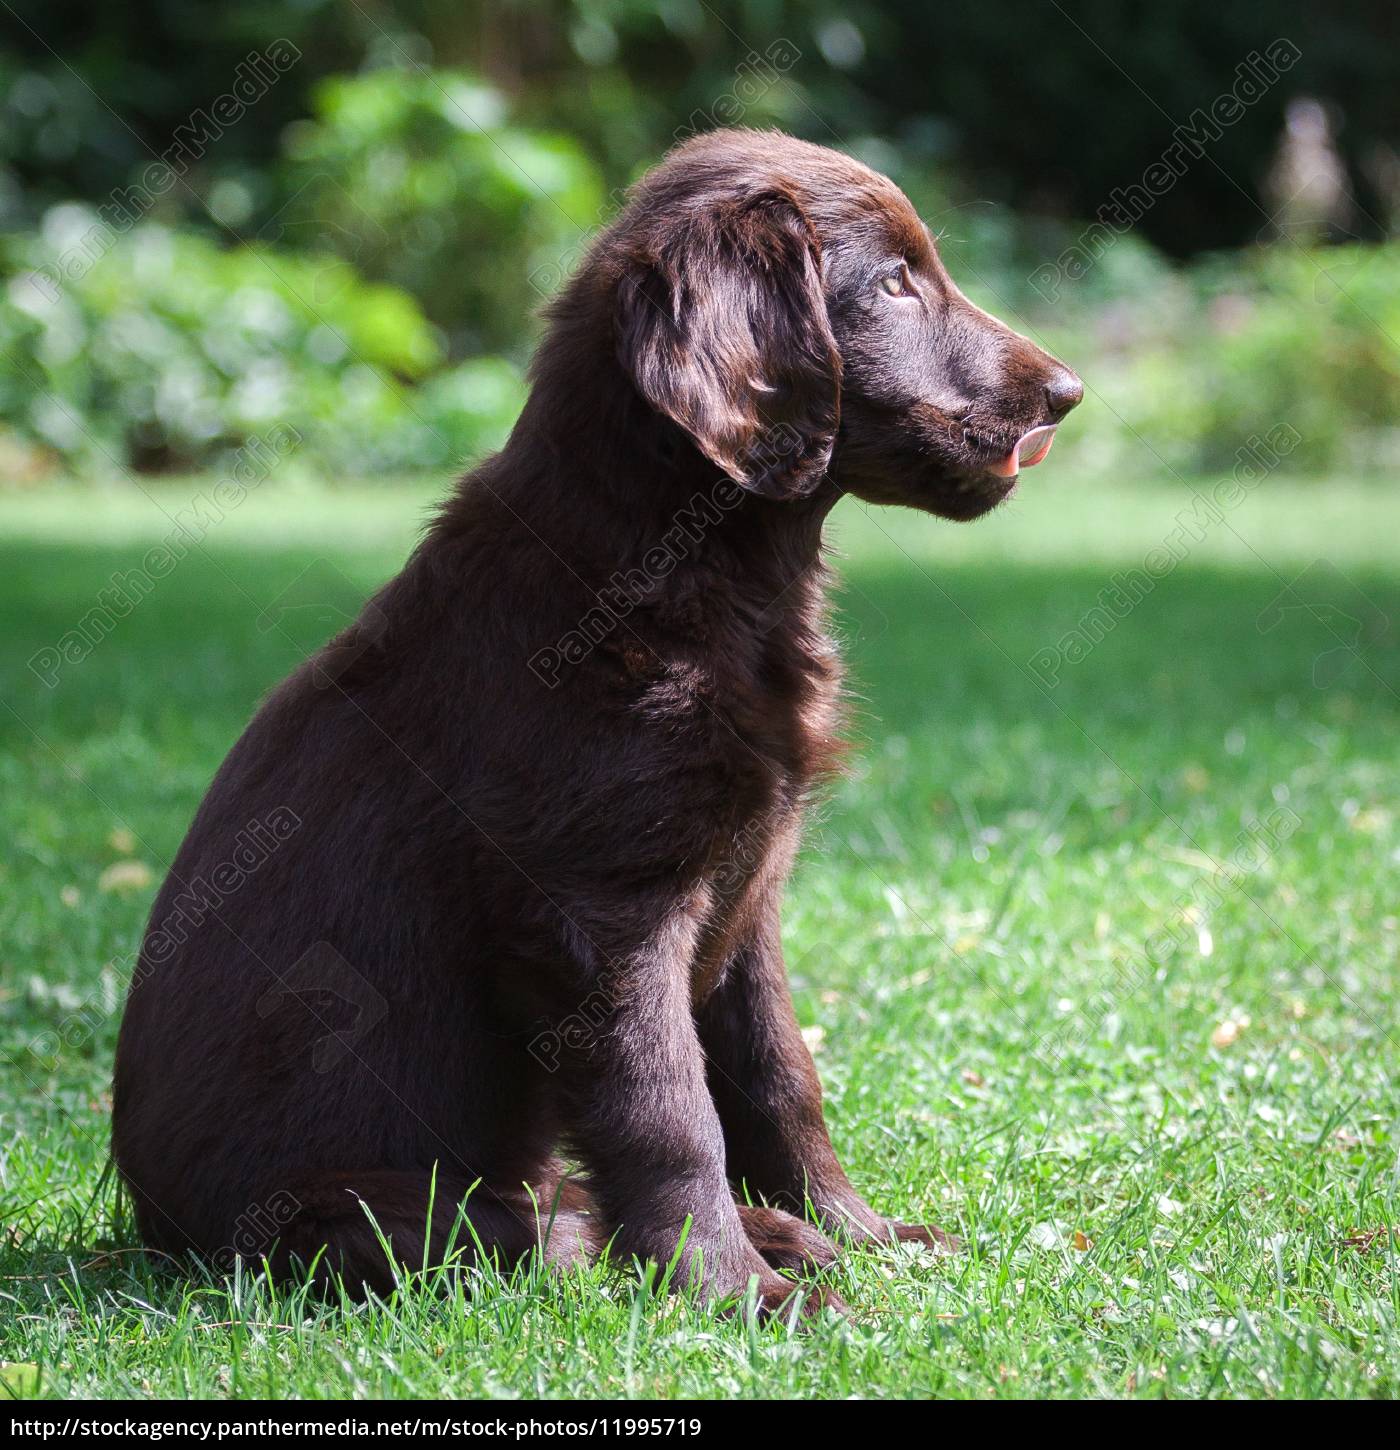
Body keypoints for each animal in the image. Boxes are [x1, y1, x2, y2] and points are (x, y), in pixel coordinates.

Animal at [115, 130, 1089, 1322]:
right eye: (895, 283)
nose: (1067, 394)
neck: (672, 573)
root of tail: (155, 1231)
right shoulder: (601, 913)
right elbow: (670, 1112)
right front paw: (739, 1292)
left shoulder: (747, 893)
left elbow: (780, 1078)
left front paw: (857, 1235)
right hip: (354, 1211)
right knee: (525, 1227)